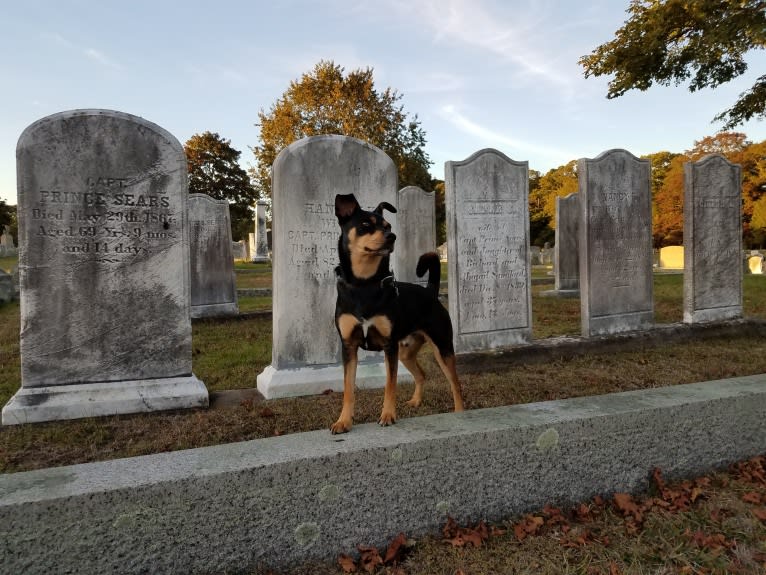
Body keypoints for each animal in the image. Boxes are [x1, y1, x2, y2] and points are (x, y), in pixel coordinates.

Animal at [328, 191, 462, 434]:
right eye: (365, 225)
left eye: (388, 225)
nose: (392, 237)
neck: (364, 285)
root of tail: (430, 292)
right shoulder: (349, 346)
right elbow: (348, 389)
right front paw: (343, 421)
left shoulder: (389, 346)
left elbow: (390, 385)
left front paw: (388, 415)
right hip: (406, 352)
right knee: (422, 374)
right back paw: (416, 401)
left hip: (442, 347)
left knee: (455, 384)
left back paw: (460, 413)